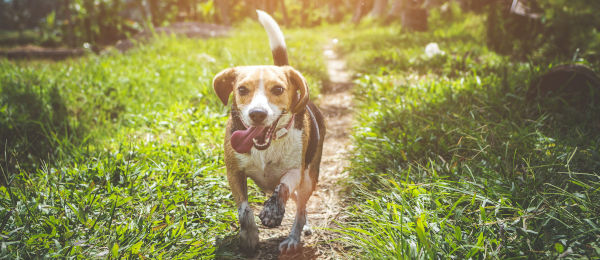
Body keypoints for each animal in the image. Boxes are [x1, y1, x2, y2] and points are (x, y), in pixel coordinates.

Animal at [212, 10, 326, 254]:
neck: (267, 146)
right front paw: (249, 237)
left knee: (300, 209)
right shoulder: (234, 172)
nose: (257, 114)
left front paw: (273, 212)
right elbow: (244, 210)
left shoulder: (296, 171)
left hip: (309, 178)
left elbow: (282, 187)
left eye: (278, 89)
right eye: (242, 89)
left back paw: (293, 237)